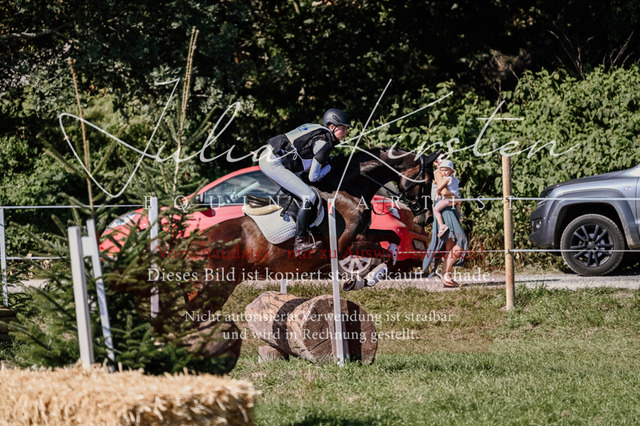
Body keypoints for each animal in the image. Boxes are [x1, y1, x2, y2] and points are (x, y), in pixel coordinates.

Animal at [189, 147, 440, 314]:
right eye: (427, 181)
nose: (427, 217)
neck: (348, 188)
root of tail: (196, 241)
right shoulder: (344, 245)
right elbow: (382, 251)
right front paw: (361, 280)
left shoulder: (362, 234)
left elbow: (391, 240)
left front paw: (363, 280)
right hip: (212, 285)